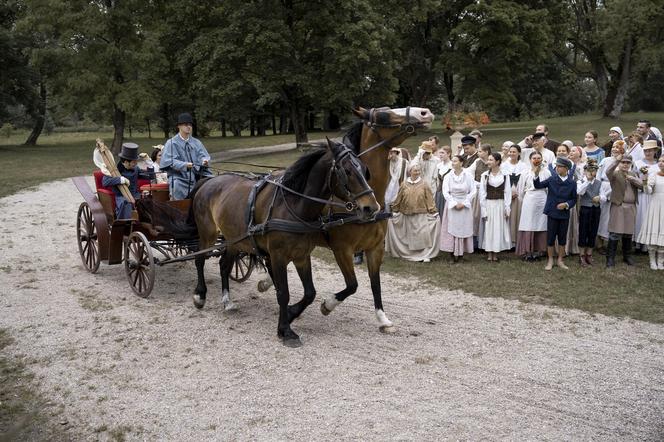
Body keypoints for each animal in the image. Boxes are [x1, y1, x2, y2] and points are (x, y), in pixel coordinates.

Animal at [192, 138, 378, 346]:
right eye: (347, 171)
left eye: (364, 169)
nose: (371, 207)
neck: (294, 206)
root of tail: (208, 181)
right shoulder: (278, 256)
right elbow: (283, 292)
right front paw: (285, 330)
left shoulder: (302, 256)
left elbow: (310, 293)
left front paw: (290, 314)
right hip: (208, 235)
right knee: (199, 260)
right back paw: (200, 295)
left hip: (234, 240)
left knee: (224, 266)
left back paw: (227, 300)